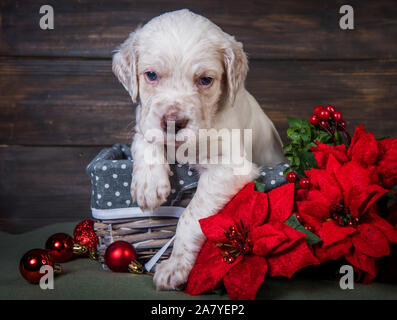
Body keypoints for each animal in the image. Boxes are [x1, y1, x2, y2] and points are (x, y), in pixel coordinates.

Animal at [112, 9, 284, 290]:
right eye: (151, 75)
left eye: (205, 80)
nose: (173, 122)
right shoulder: (144, 123)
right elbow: (146, 141)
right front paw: (149, 186)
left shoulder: (231, 168)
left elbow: (190, 216)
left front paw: (175, 267)